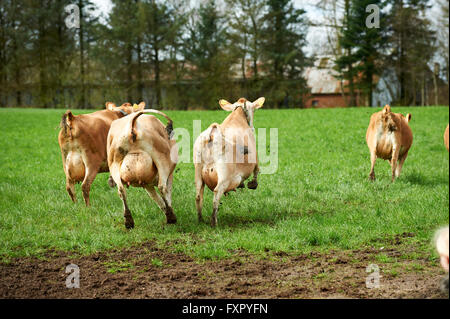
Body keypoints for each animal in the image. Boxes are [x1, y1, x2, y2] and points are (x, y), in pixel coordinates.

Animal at [192, 97, 264, 228]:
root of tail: (211, 134)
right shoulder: (255, 156)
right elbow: (257, 169)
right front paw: (253, 184)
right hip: (224, 175)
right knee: (217, 193)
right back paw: (214, 222)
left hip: (198, 169)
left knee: (198, 195)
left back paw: (200, 220)